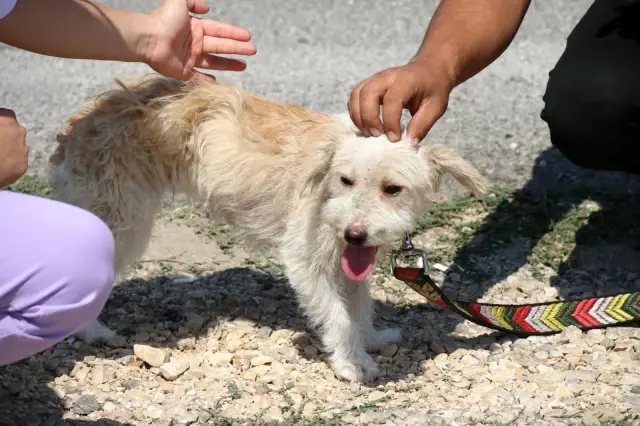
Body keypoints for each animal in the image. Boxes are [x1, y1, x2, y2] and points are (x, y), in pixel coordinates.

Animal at [48, 74, 490, 382]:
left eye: (393, 189)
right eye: (346, 180)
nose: (354, 233)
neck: (327, 186)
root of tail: (76, 125)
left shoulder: (348, 259)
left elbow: (359, 304)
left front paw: (372, 339)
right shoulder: (306, 258)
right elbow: (338, 316)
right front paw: (352, 362)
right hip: (122, 222)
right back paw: (90, 330)